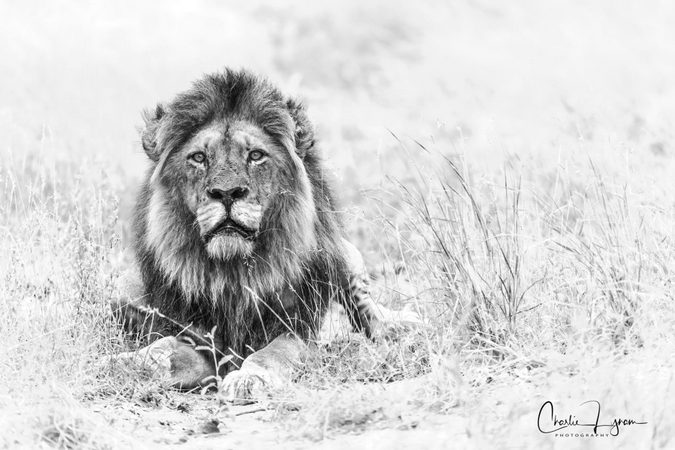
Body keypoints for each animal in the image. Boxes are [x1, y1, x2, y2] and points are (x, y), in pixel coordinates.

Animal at [113, 68, 388, 402]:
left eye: (256, 156)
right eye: (199, 158)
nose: (226, 192)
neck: (233, 272)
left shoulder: (299, 328)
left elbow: (273, 353)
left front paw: (250, 378)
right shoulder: (201, 340)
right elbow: (162, 350)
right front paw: (127, 363)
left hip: (346, 260)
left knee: (368, 309)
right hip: (121, 287)